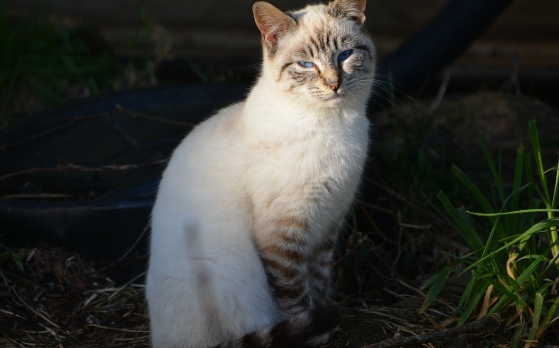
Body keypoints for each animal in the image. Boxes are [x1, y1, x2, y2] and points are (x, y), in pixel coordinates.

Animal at [147, 0, 378, 346]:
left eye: (344, 56)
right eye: (305, 64)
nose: (334, 84)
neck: (335, 124)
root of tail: (160, 340)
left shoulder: (328, 223)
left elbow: (318, 282)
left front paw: (323, 327)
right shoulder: (283, 231)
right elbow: (294, 296)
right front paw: (311, 332)